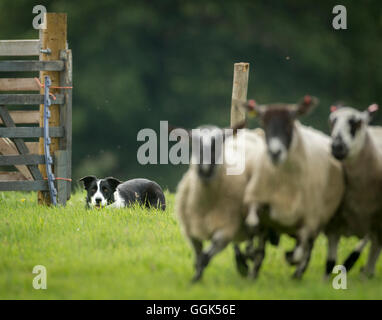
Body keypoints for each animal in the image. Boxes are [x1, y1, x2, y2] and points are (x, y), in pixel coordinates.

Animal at [175, 124, 274, 282]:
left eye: (217, 143)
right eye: (194, 143)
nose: (205, 168)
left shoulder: (225, 228)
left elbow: (205, 257)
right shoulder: (191, 230)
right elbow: (199, 257)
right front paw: (196, 278)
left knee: (260, 248)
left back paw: (252, 271)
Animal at [240, 96, 344, 278]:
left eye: (290, 124)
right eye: (264, 123)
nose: (275, 153)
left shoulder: (309, 219)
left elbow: (300, 251)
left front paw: (290, 258)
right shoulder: (258, 202)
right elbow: (253, 227)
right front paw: (249, 256)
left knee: (307, 248)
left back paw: (297, 272)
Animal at [324, 103, 382, 278]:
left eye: (357, 123)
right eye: (332, 121)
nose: (337, 146)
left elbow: (371, 251)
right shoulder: (333, 223)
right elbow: (330, 263)